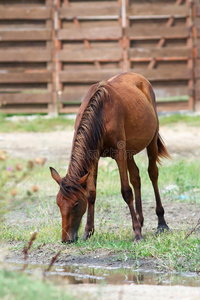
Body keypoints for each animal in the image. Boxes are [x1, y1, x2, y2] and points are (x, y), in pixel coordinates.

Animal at [50, 72, 170, 244]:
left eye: (76, 204)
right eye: (58, 203)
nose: (66, 239)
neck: (101, 114)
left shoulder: (119, 154)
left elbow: (126, 192)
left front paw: (137, 233)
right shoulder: (94, 156)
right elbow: (91, 193)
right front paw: (88, 231)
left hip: (151, 142)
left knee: (153, 174)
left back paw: (161, 224)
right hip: (129, 151)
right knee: (136, 177)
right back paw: (140, 220)